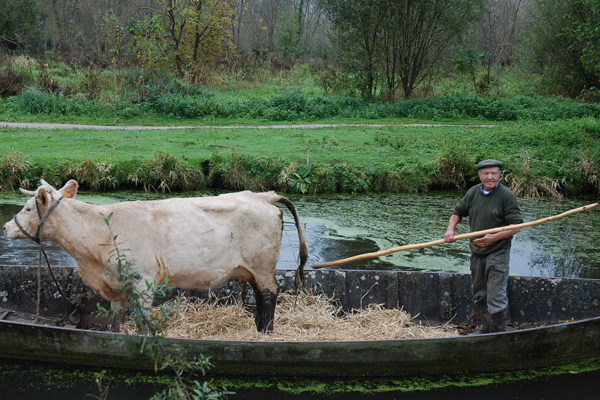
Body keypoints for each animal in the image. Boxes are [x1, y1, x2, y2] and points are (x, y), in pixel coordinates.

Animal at [2, 180, 308, 332]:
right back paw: (257, 328)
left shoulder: (143, 281)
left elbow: (143, 321)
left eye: (28, 208)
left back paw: (266, 331)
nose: (5, 227)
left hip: (263, 266)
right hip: (253, 269)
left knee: (269, 294)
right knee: (259, 294)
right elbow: (116, 318)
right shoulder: (117, 283)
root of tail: (263, 196)